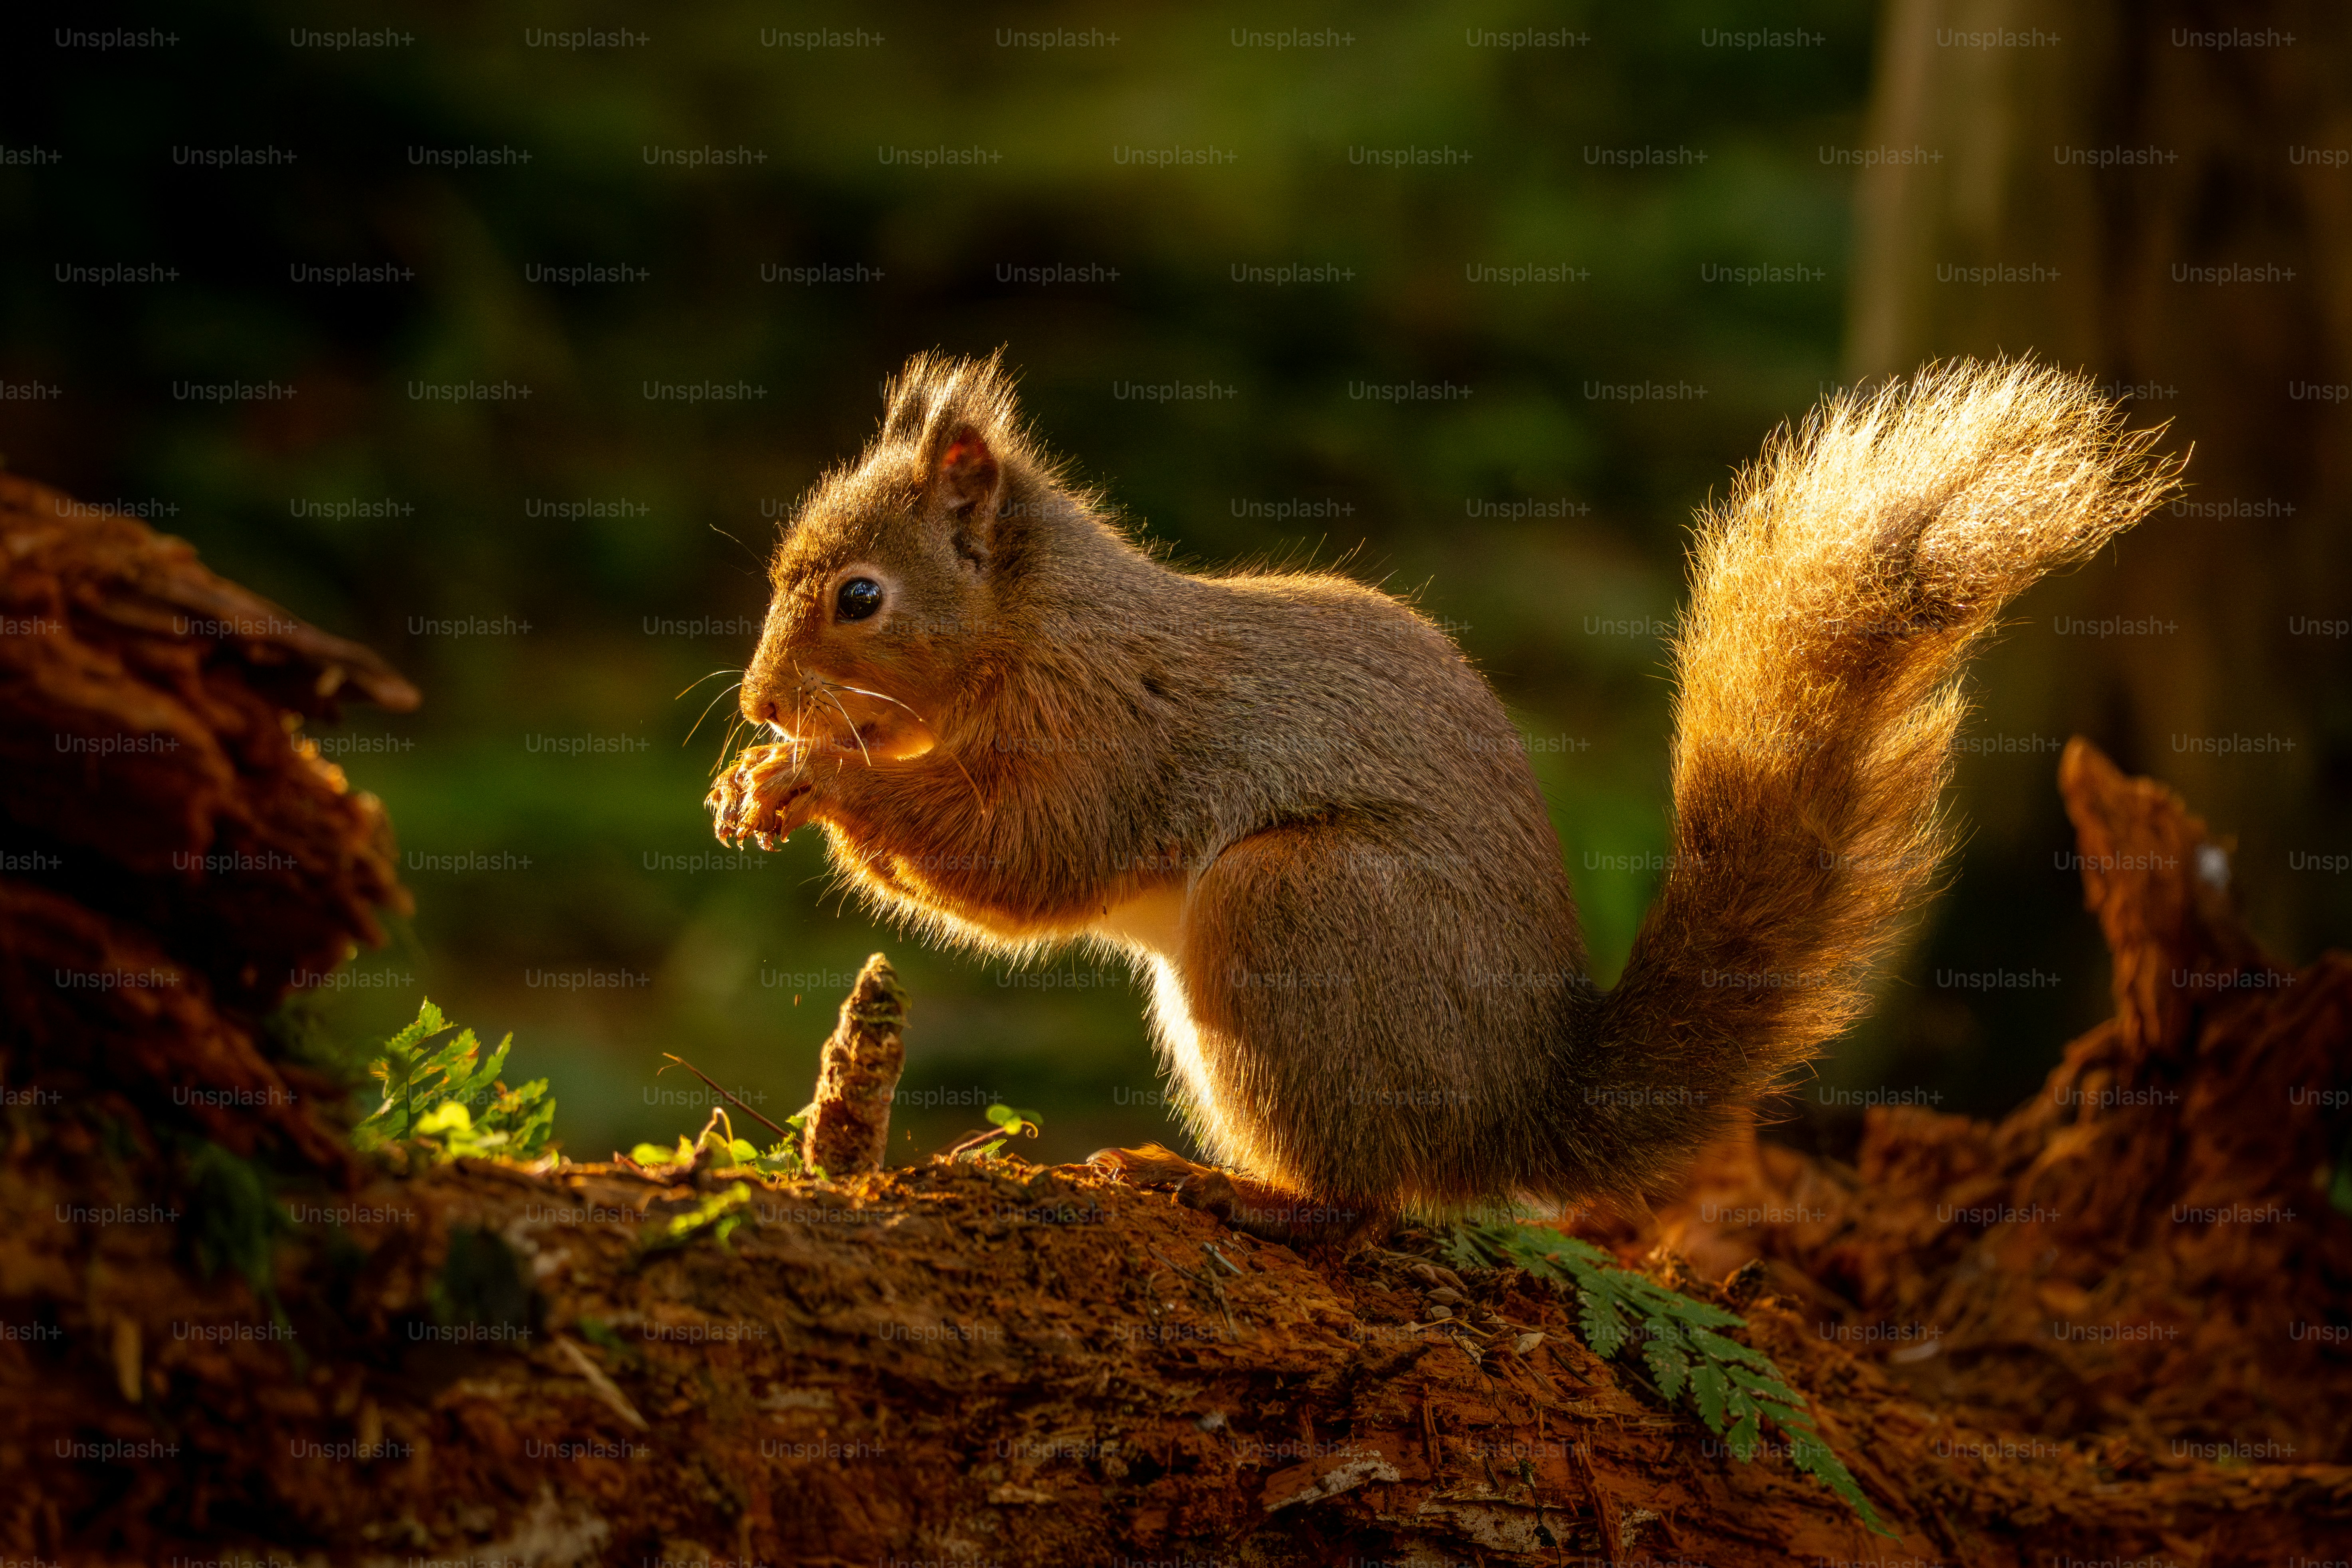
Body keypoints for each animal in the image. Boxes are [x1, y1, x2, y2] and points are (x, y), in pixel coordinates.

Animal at [709, 350, 2180, 1247]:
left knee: (1362, 1201)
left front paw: (824, 775)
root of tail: (1507, 1111)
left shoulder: (1108, 730)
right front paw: (755, 783)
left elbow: (1019, 862)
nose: (762, 703)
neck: (1032, 626)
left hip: (1292, 912)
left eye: (861, 596)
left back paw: (1214, 1187)